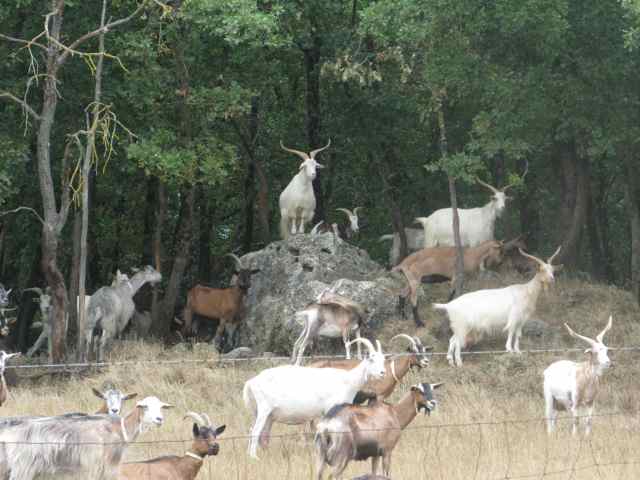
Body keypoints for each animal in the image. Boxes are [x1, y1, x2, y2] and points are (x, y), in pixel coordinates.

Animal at [244, 336, 384, 460]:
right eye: (371, 359)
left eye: (383, 359)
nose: (383, 372)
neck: (348, 380)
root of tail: (251, 382)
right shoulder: (331, 408)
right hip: (264, 409)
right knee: (255, 431)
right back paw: (254, 457)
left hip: (265, 414)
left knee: (259, 433)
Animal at [312, 380, 442, 478]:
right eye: (420, 391)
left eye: (432, 389)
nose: (433, 403)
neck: (395, 413)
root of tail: (326, 426)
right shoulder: (387, 451)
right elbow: (386, 474)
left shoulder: (375, 454)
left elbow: (374, 473)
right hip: (341, 458)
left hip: (320, 458)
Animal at [432, 246, 564, 366]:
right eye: (542, 269)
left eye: (552, 269)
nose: (552, 279)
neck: (526, 291)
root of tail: (449, 305)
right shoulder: (514, 317)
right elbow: (511, 331)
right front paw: (509, 350)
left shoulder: (522, 320)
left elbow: (518, 334)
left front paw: (518, 352)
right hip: (462, 326)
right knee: (458, 341)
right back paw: (459, 363)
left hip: (460, 326)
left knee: (453, 340)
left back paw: (451, 361)